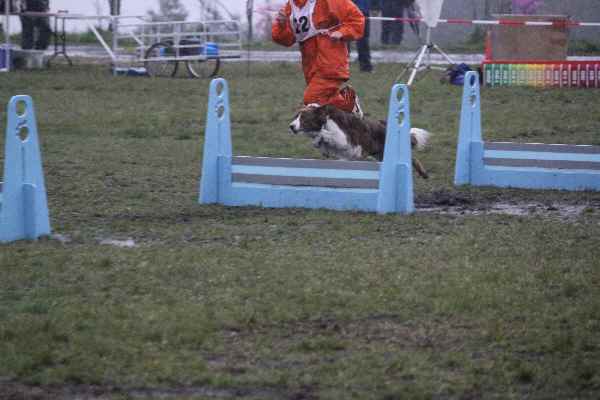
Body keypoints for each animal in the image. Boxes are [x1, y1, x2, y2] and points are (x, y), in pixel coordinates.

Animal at [289, 104, 431, 179]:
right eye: (296, 116)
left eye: (304, 118)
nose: (291, 126)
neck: (325, 121)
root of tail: (386, 125)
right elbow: (322, 144)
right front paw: (318, 143)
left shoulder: (343, 139)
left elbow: (324, 134)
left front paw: (319, 137)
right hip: (380, 154)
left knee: (412, 159)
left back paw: (424, 174)